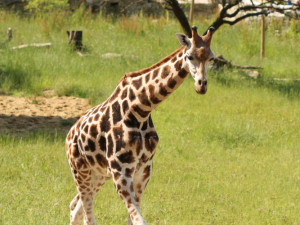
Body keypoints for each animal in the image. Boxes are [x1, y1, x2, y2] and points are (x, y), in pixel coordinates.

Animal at [66, 25, 216, 224]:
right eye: (190, 56)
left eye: (211, 57)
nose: (201, 85)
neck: (141, 109)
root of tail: (69, 134)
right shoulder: (121, 170)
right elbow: (139, 219)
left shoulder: (144, 169)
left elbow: (133, 219)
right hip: (80, 171)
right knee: (86, 213)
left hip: (98, 174)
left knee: (75, 208)